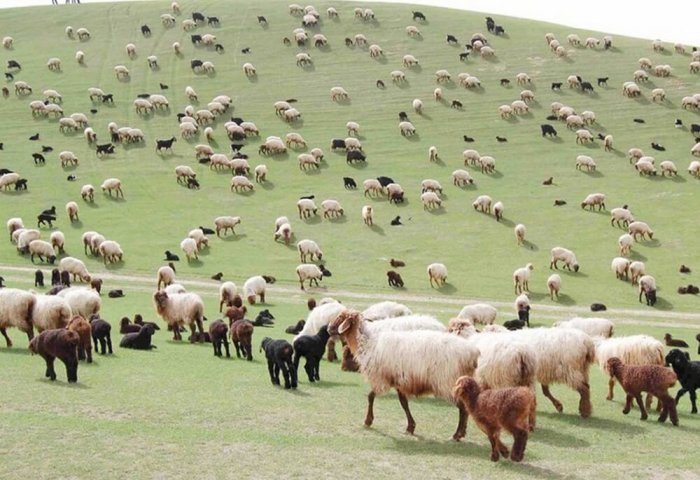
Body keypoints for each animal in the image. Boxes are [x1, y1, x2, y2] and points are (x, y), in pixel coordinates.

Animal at [328, 310, 479, 439]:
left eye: (341, 317)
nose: (328, 328)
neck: (367, 342)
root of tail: (471, 353)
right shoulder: (399, 380)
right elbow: (403, 403)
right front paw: (410, 427)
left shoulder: (381, 379)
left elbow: (370, 397)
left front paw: (368, 421)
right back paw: (460, 433)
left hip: (448, 382)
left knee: (463, 407)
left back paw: (457, 435)